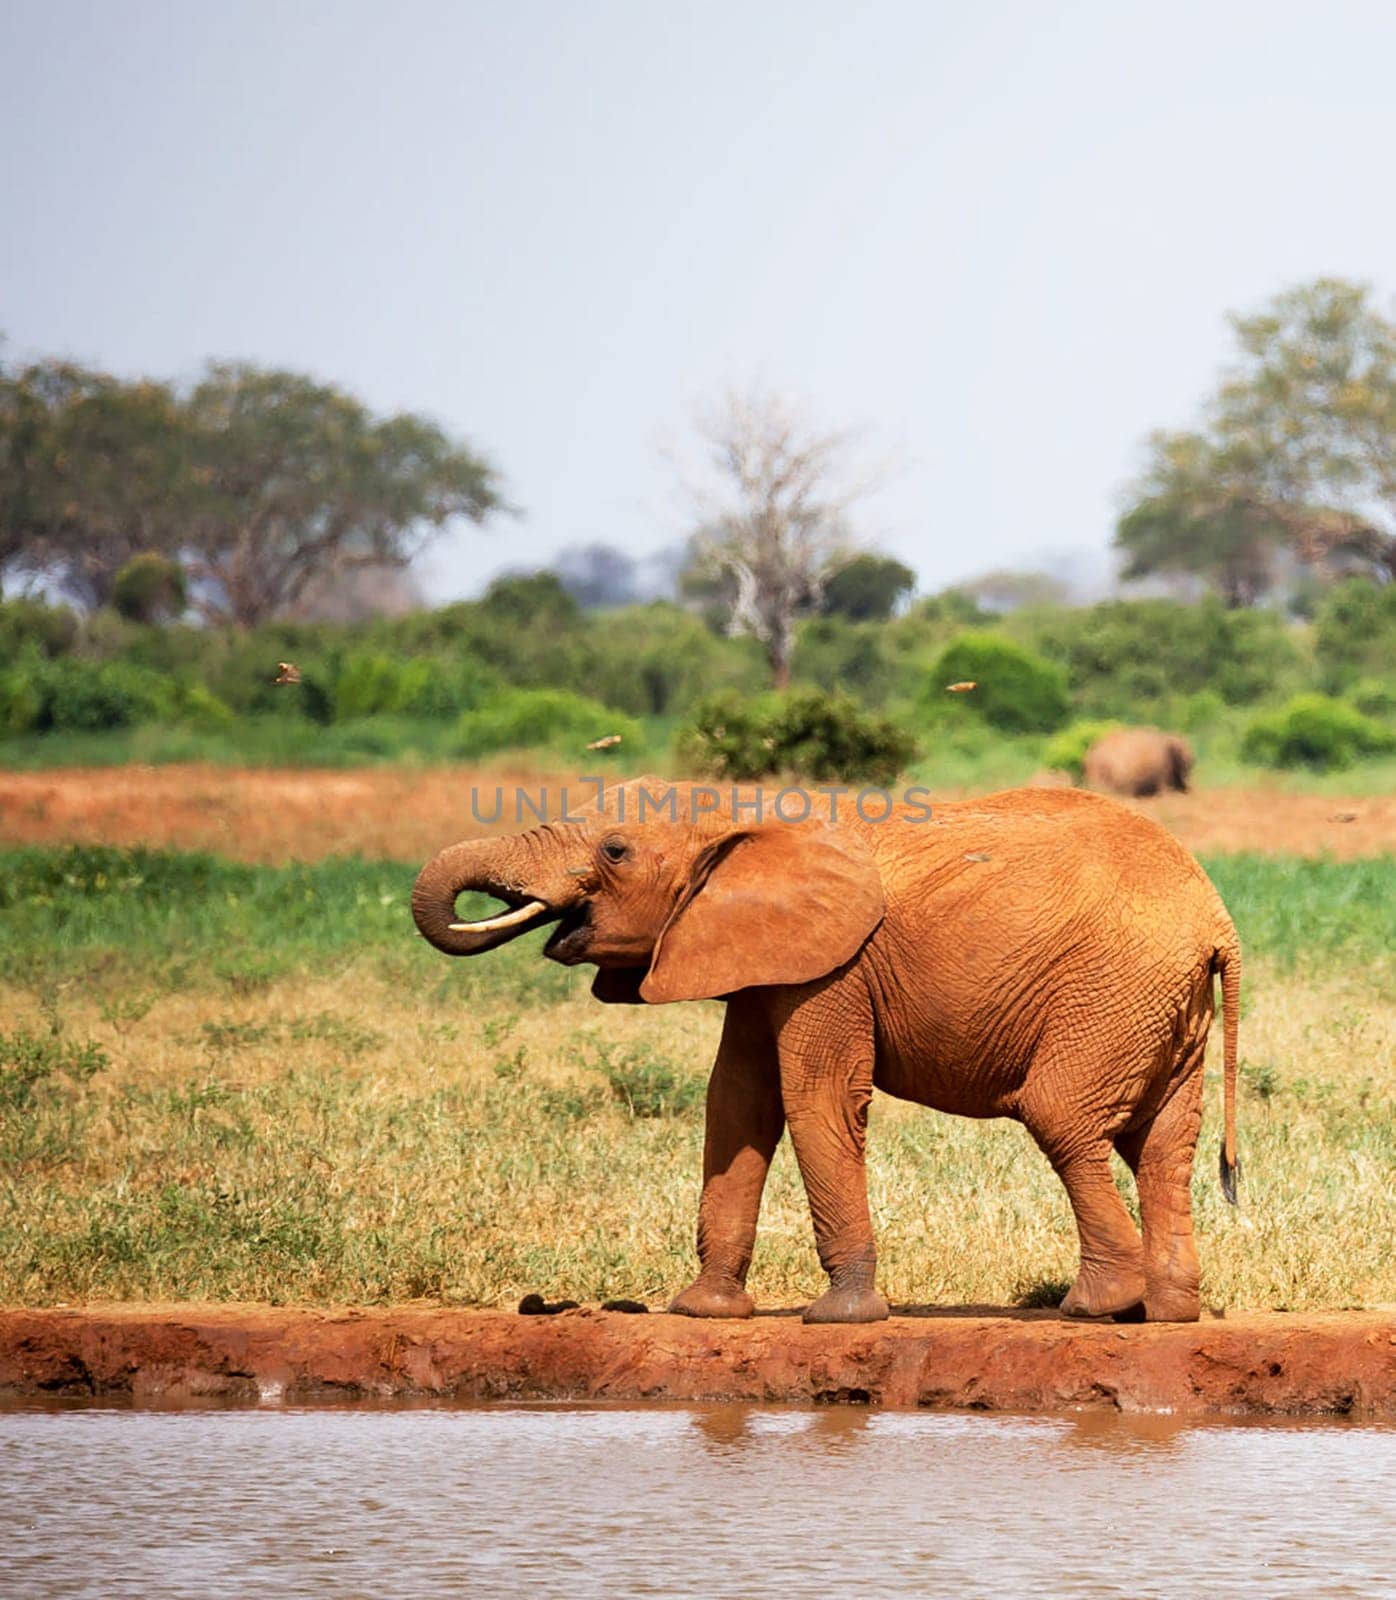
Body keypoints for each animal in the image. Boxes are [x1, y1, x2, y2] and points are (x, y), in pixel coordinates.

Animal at [408, 784, 1235, 1324]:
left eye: (614, 851)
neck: (741, 811)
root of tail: (1217, 919)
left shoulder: (836, 968)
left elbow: (819, 1099)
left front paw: (839, 1317)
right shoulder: (754, 950)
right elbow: (737, 1104)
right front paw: (703, 1311)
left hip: (1112, 991)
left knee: (1062, 1117)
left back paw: (1097, 1308)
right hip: (1164, 1007)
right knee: (1163, 1146)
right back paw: (1167, 1313)